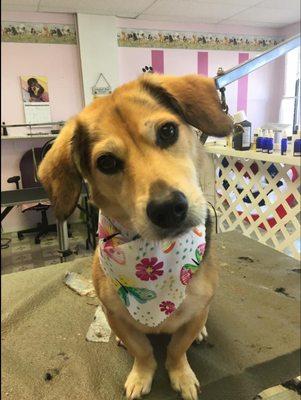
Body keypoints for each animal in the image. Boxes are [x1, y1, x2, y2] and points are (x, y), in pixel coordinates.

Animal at [38, 73, 232, 398]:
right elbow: (142, 350)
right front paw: (142, 375)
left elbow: (177, 348)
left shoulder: (194, 312)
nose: (168, 208)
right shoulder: (117, 316)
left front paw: (181, 374)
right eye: (106, 162)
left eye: (168, 131)